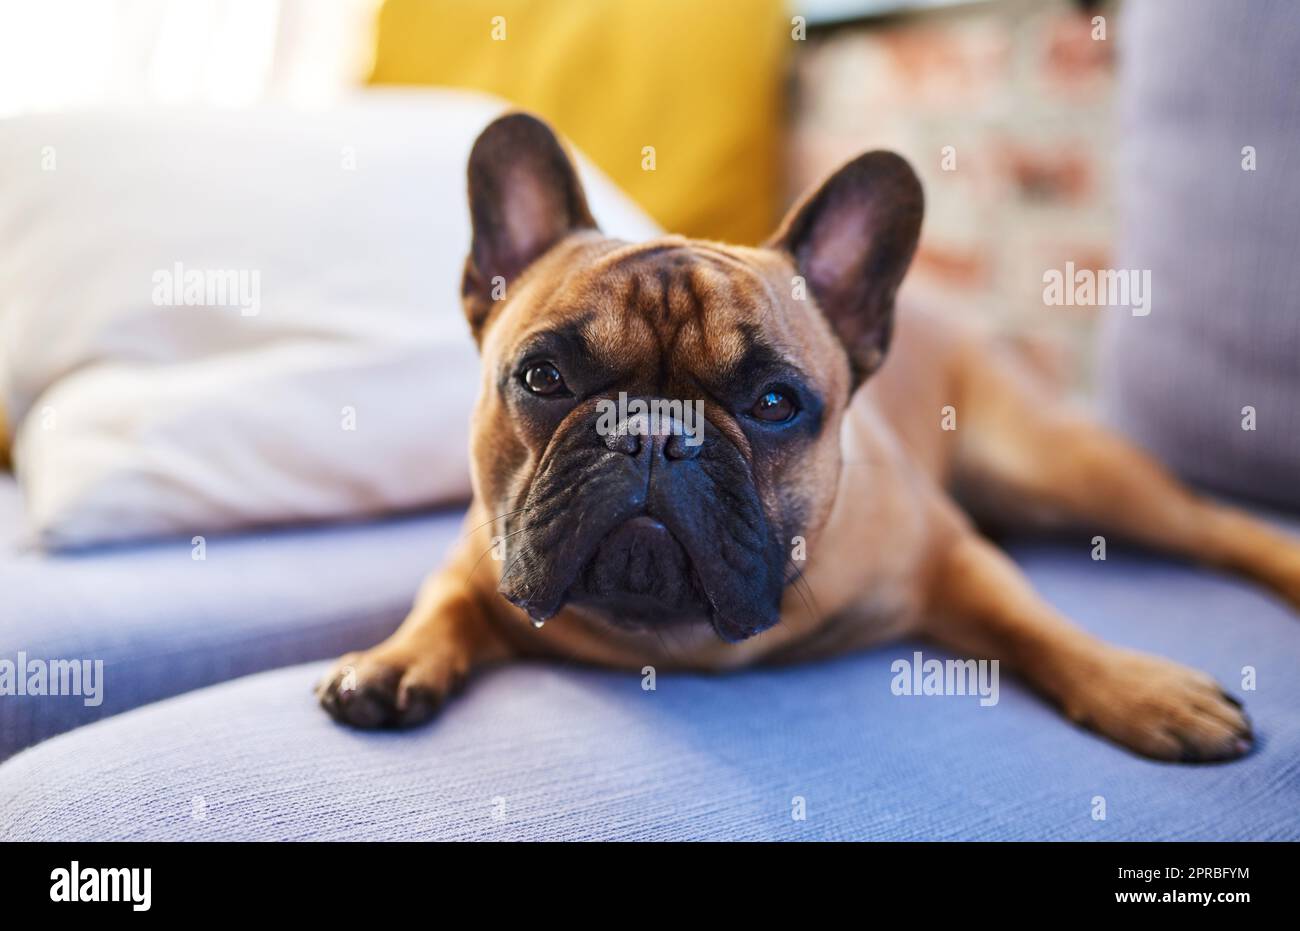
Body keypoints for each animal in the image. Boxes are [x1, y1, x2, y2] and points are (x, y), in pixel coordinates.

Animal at [317, 112, 1300, 759]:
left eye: (775, 402)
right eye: (543, 378)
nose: (652, 433)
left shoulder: (949, 551)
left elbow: (1039, 624)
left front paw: (1140, 686)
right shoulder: (481, 555)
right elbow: (444, 599)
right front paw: (391, 659)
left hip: (1057, 465)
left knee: (1216, 525)